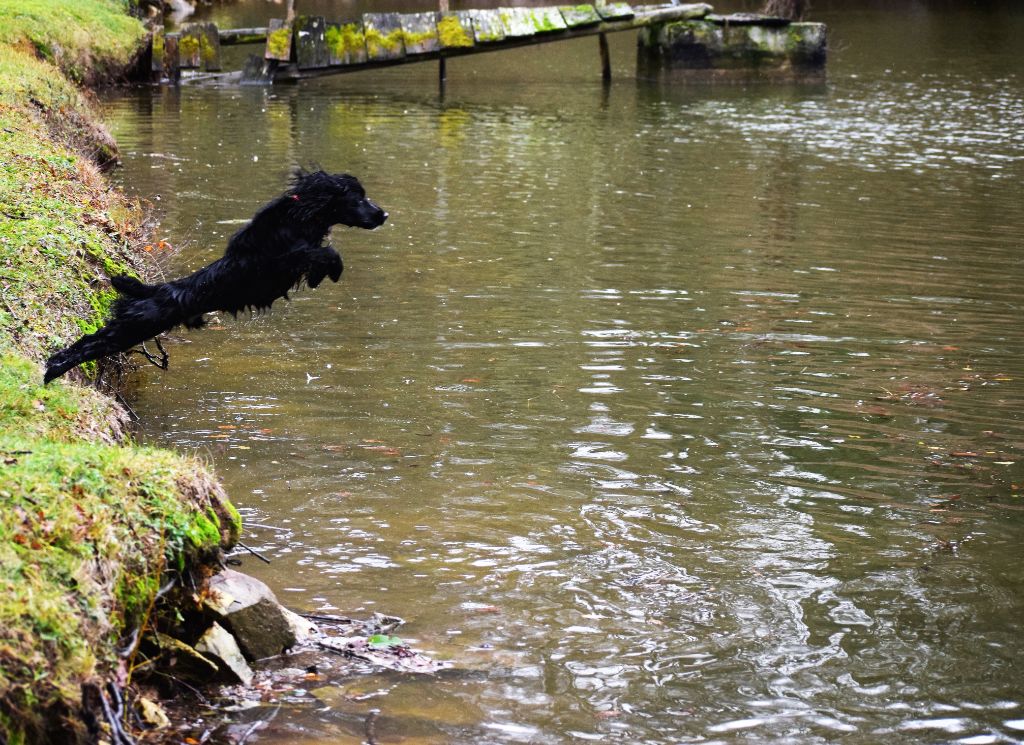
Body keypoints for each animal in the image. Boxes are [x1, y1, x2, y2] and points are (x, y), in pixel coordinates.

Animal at [41, 169, 385, 384]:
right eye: (358, 197)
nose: (384, 214)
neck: (300, 215)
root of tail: (153, 289)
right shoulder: (282, 259)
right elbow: (324, 253)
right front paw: (333, 270)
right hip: (132, 328)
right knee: (89, 343)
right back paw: (53, 370)